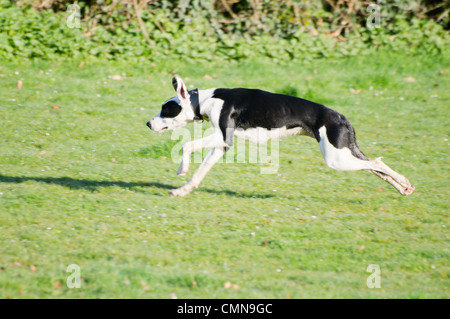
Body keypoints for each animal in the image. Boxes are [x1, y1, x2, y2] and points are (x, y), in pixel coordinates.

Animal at [148, 77, 414, 198]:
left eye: (166, 109)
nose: (148, 123)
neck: (206, 99)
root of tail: (340, 116)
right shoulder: (222, 146)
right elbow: (200, 172)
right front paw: (182, 190)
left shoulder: (224, 137)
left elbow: (186, 145)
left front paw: (181, 168)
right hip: (345, 151)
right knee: (376, 167)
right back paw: (403, 186)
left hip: (336, 158)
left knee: (377, 163)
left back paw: (404, 183)